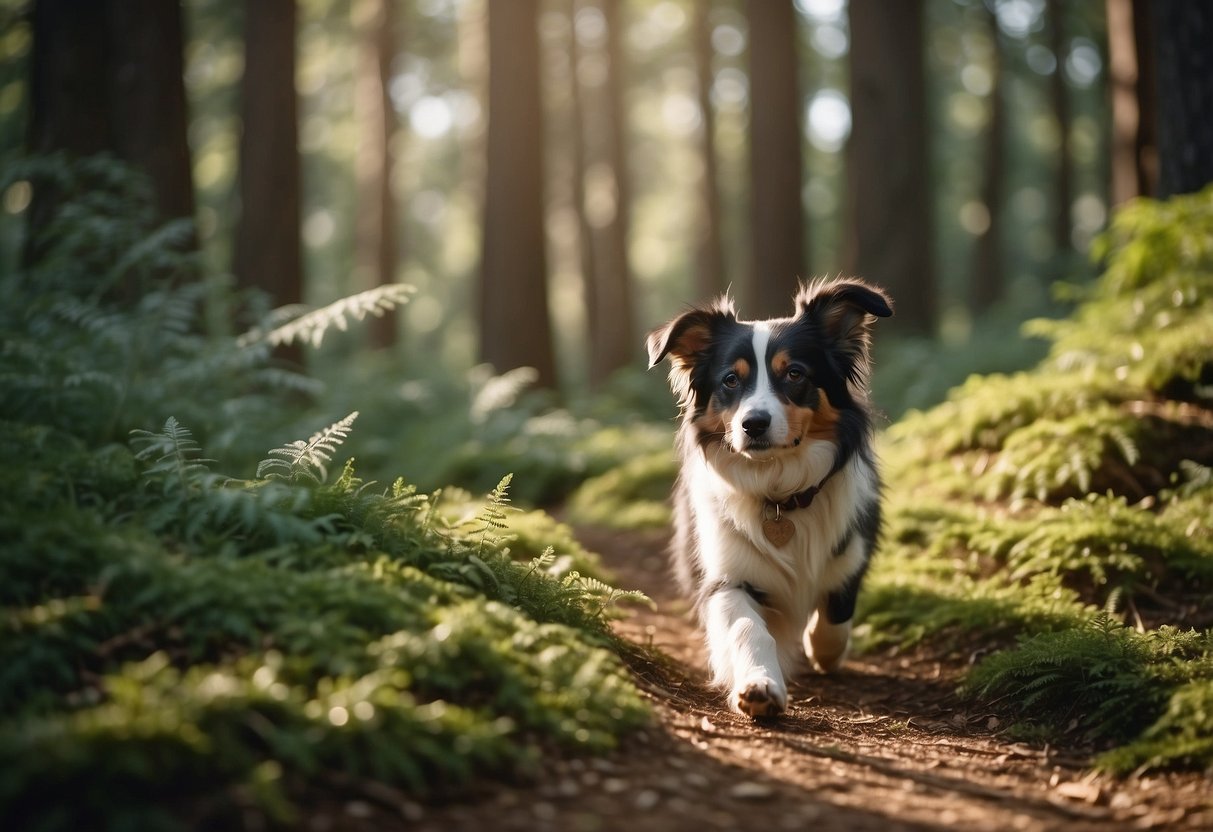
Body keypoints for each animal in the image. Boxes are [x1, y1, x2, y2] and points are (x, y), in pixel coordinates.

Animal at [645, 278, 892, 717]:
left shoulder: (853, 546)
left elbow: (836, 611)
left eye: (794, 373)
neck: (779, 492)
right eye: (730, 380)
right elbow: (748, 627)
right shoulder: (728, 576)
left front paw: (822, 650)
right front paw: (759, 684)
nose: (754, 424)